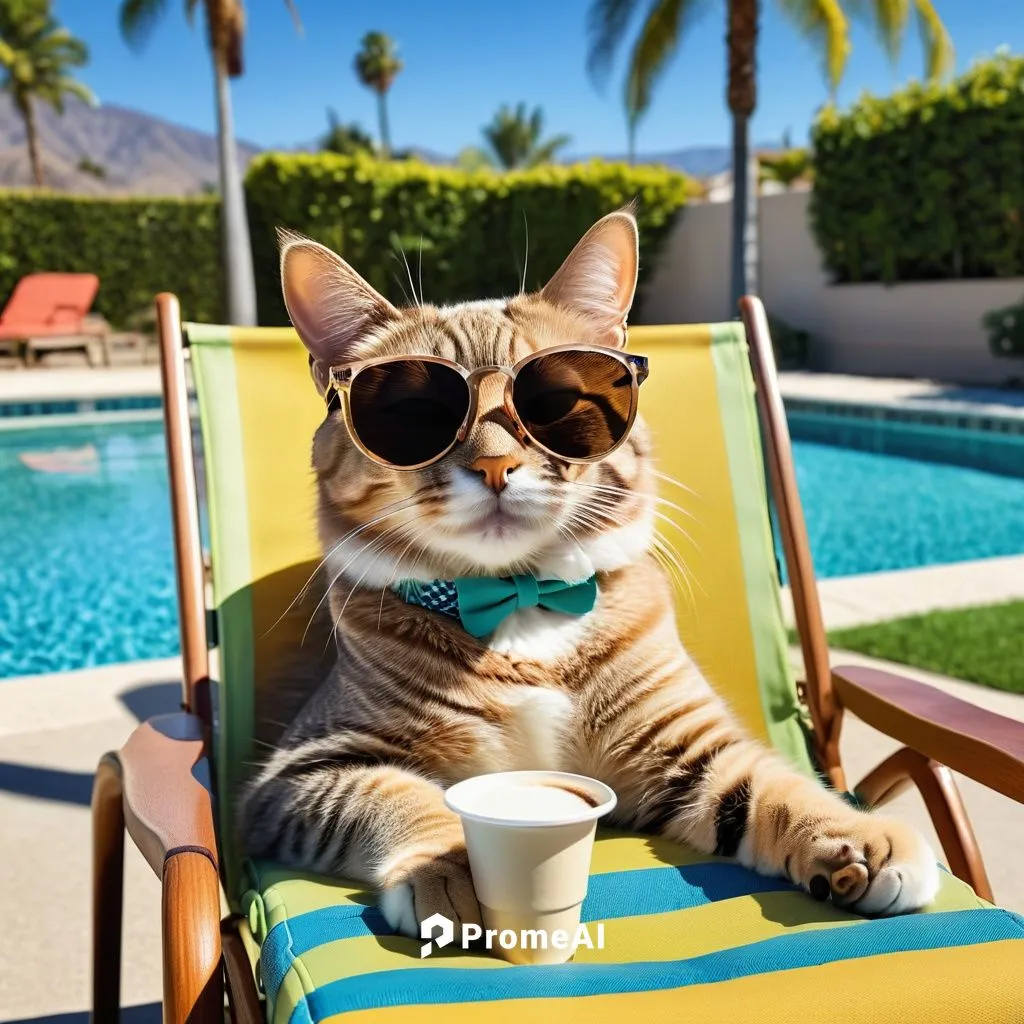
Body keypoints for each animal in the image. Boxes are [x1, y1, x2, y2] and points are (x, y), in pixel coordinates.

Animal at [237, 207, 937, 937]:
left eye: (556, 399)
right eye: (412, 412)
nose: (494, 464)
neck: (519, 603)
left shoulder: (685, 744)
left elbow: (772, 784)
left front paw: (857, 834)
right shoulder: (297, 774)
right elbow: (395, 792)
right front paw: (449, 865)